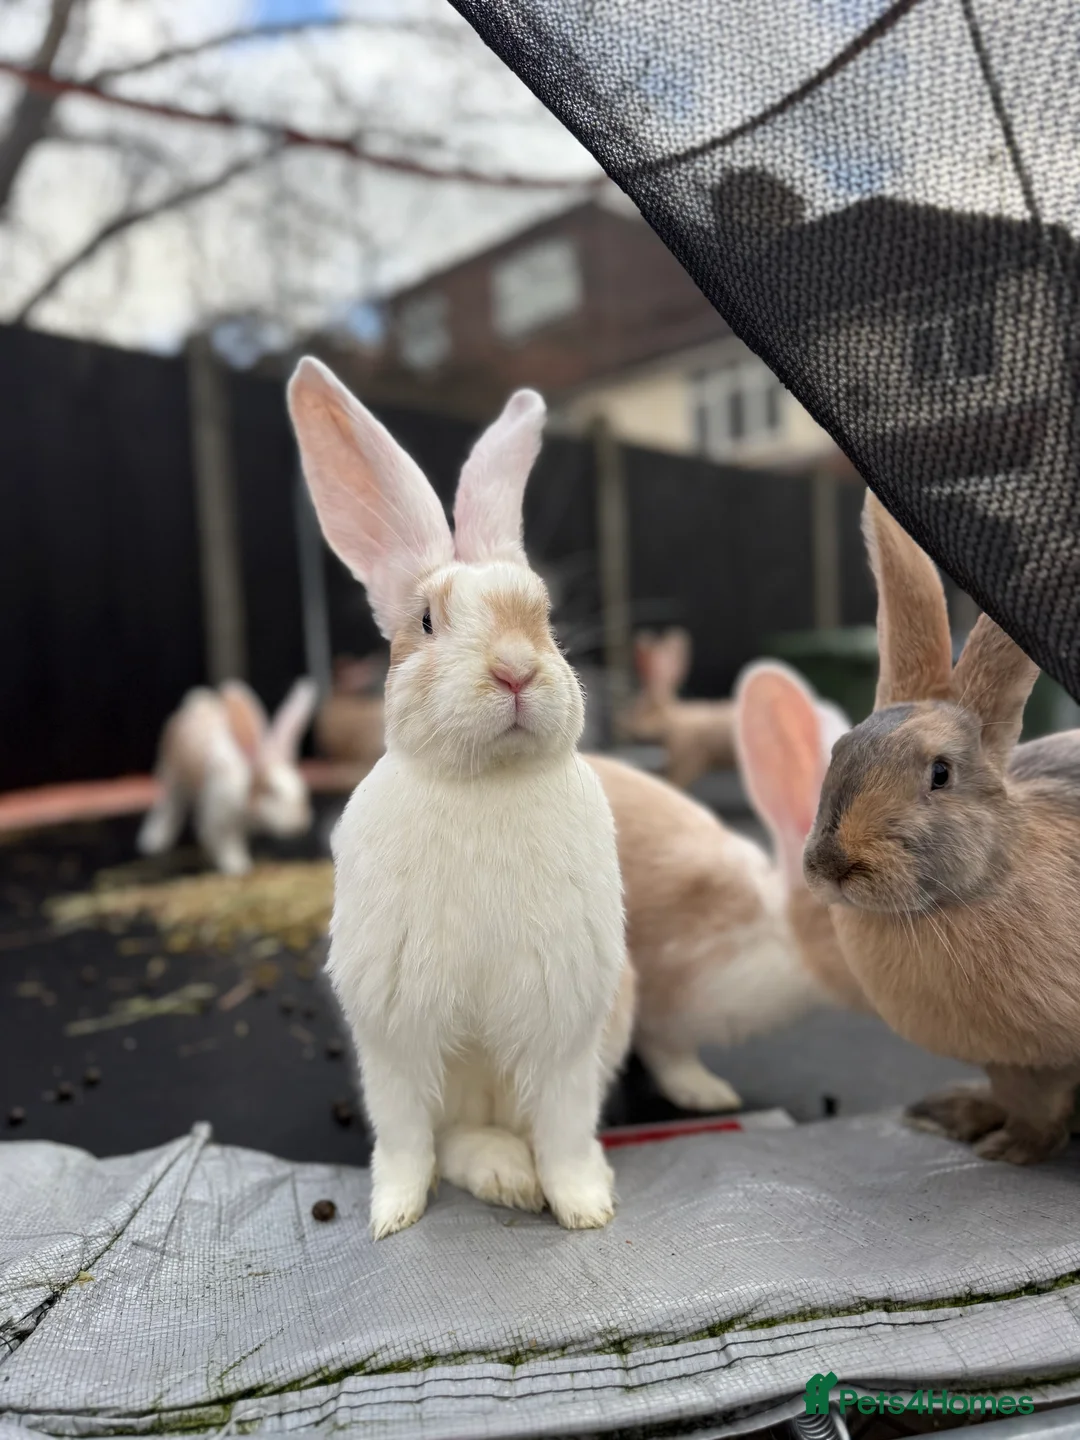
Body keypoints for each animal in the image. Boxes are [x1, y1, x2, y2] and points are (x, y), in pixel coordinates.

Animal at [137, 677, 318, 876]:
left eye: (302, 787)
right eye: (270, 791)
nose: (301, 824)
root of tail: (196, 704)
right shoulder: (219, 818)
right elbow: (225, 843)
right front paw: (238, 866)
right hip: (172, 778)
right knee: (169, 808)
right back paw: (153, 840)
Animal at [287, 357, 632, 1239]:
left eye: (544, 616)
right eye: (426, 621)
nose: (515, 669)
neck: (486, 782)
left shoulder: (563, 1026)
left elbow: (566, 1131)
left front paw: (585, 1210)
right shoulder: (395, 1034)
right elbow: (408, 1140)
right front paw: (391, 1217)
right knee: (456, 1138)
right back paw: (505, 1178)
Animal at [803, 490, 1080, 1166]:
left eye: (940, 773)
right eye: (840, 749)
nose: (834, 865)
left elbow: (1043, 1109)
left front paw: (1011, 1150)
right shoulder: (1011, 1063)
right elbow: (1025, 1100)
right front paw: (997, 1136)